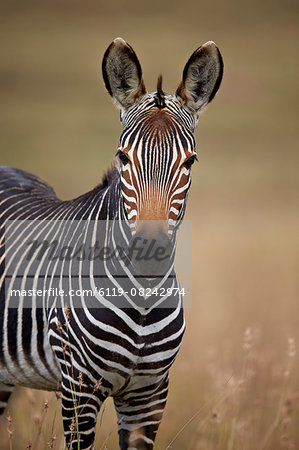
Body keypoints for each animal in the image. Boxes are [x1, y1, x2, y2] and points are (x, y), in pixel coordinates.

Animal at [0, 37, 223, 448]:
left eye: (190, 162)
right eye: (123, 157)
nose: (149, 256)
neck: (142, 299)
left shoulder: (149, 395)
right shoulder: (78, 389)